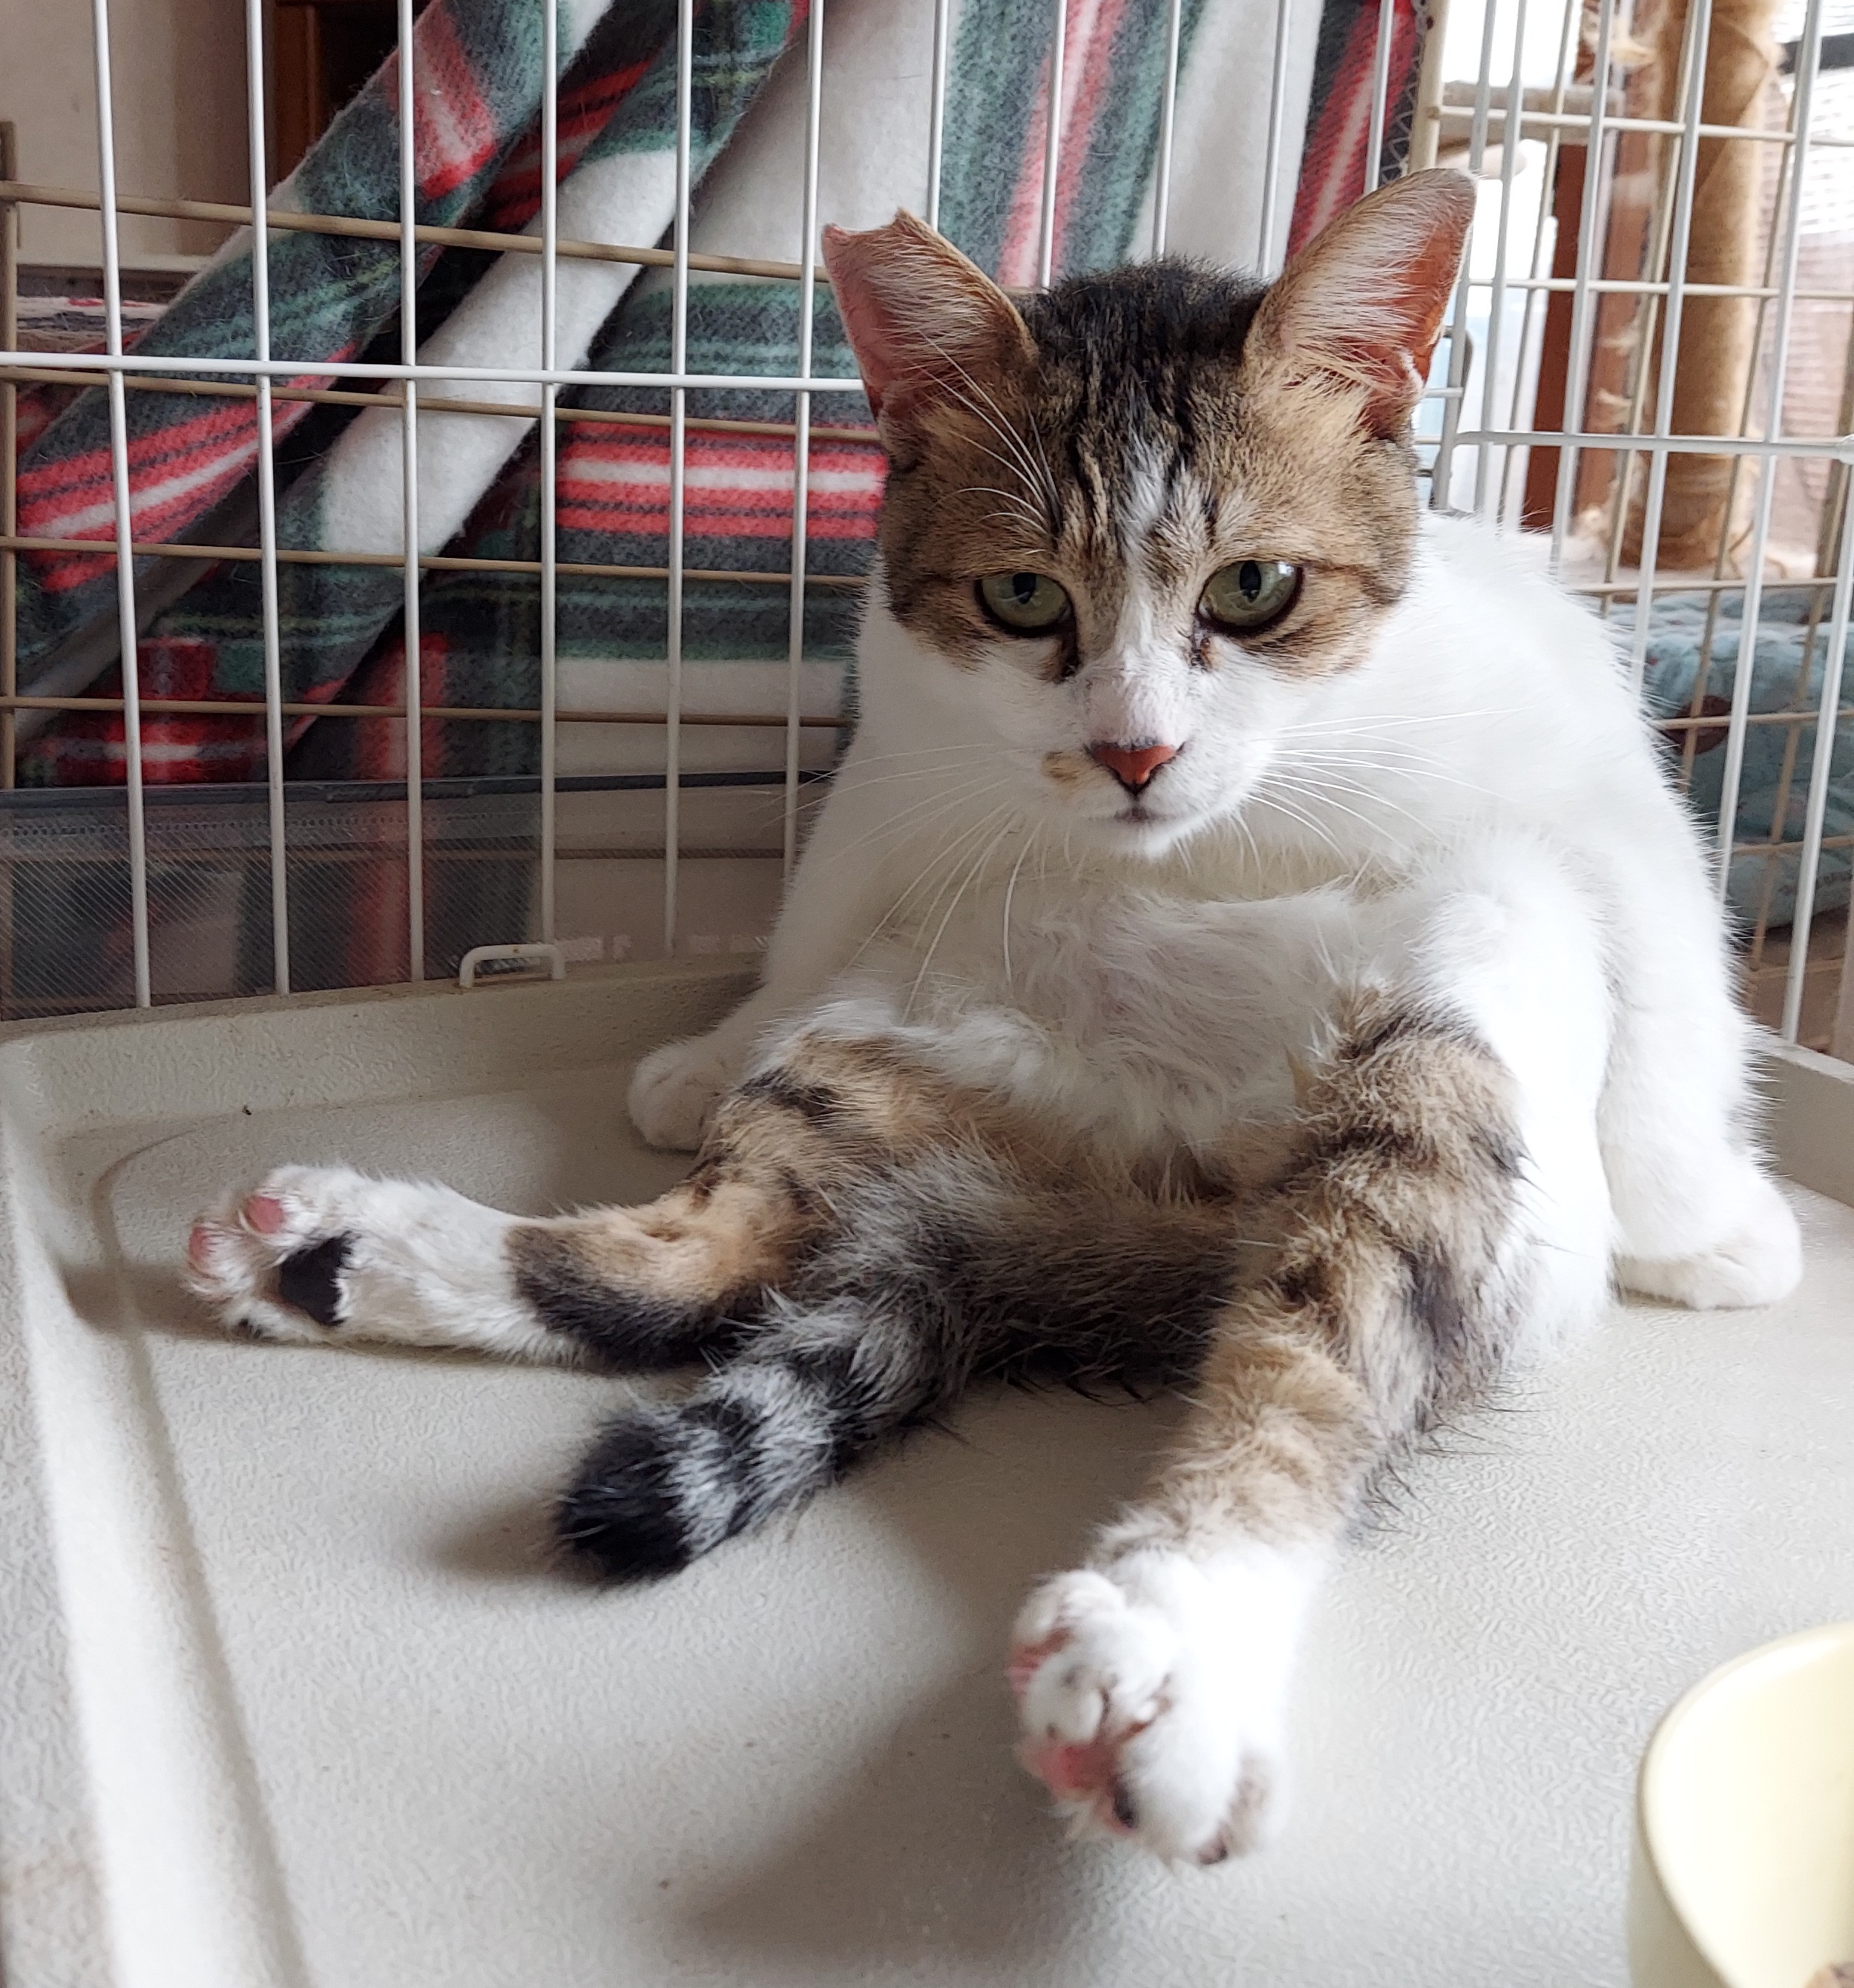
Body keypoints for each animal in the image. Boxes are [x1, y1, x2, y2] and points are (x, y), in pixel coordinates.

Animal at [185, 169, 1802, 1866]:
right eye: (1023, 595)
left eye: (1254, 588)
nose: (1135, 753)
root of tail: (1178, 1184)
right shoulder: (894, 750)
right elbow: (821, 893)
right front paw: (699, 1051)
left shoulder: (1579, 784)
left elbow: (1670, 976)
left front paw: (1702, 1222)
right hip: (888, 1028)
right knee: (708, 1261)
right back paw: (341, 1253)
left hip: (1454, 1004)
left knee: (1322, 1347)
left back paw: (1174, 1647)